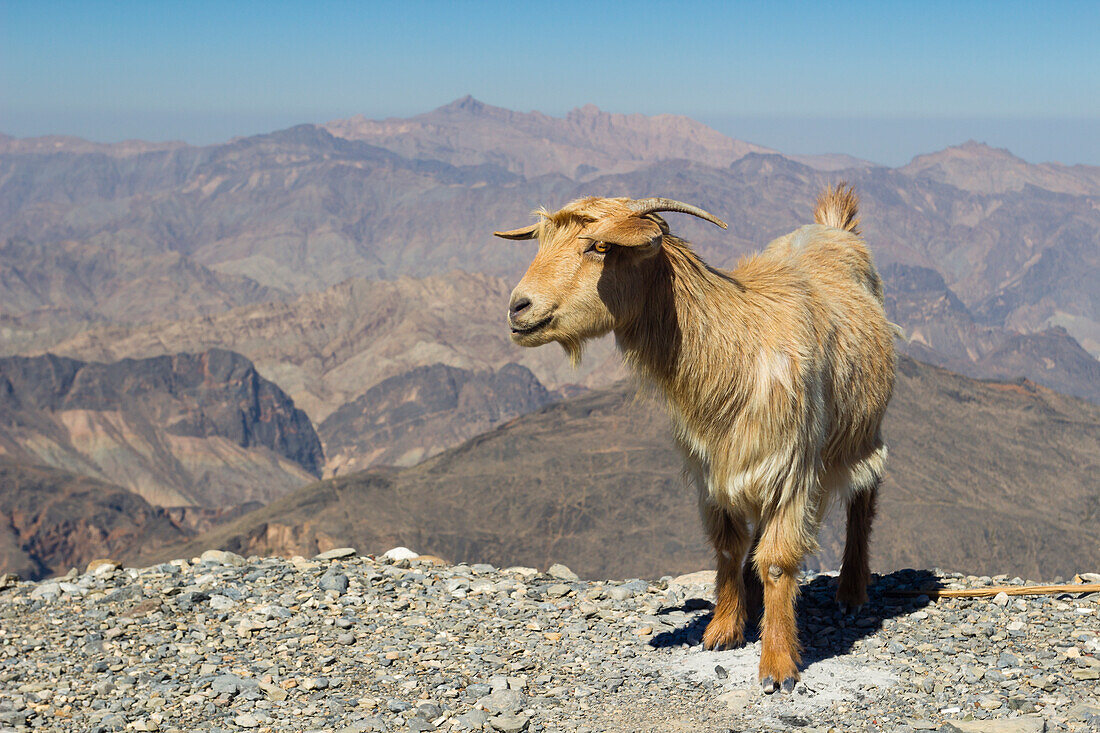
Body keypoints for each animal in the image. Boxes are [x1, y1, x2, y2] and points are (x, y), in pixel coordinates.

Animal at [497, 183, 893, 691]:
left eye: (600, 247)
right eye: (542, 242)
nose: (518, 307)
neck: (734, 346)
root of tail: (834, 228)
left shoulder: (791, 466)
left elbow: (779, 560)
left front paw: (778, 665)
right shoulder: (711, 469)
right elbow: (727, 545)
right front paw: (722, 630)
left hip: (865, 430)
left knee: (864, 498)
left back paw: (851, 590)